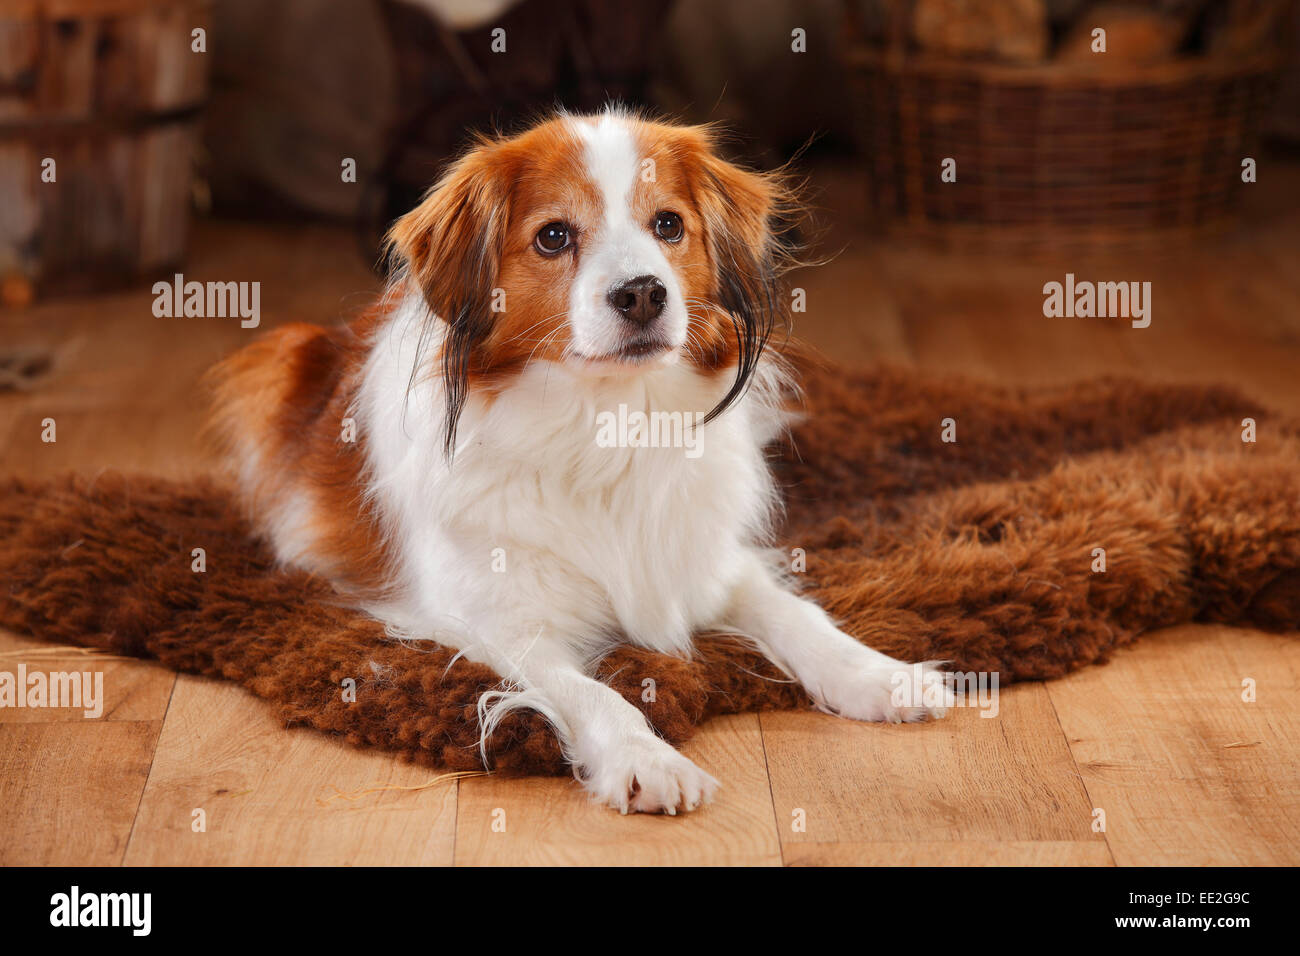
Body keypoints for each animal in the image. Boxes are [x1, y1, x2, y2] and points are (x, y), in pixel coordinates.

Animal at [208, 110, 951, 816]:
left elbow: (798, 615)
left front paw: (879, 674)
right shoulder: (497, 620)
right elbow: (593, 693)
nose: (643, 292)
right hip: (278, 357)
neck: (606, 424)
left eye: (668, 224)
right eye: (553, 237)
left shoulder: (704, 561)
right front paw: (647, 761)